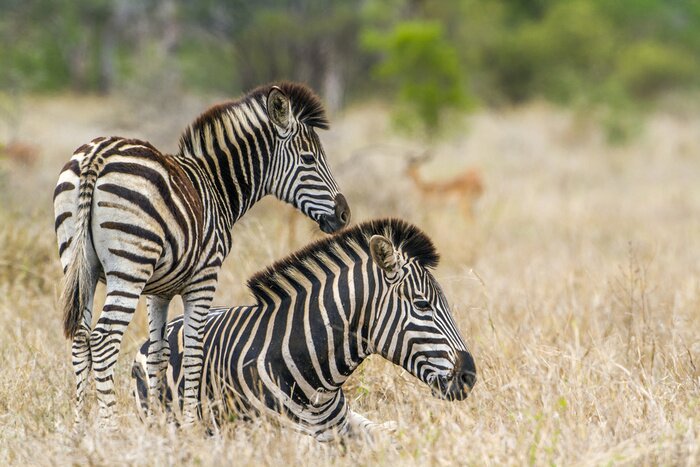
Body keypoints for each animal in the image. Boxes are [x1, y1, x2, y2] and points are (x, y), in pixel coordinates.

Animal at [53, 82, 350, 427]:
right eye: (308, 159)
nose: (344, 214)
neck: (216, 186)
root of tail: (96, 155)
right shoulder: (204, 277)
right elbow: (195, 350)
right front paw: (191, 423)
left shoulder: (158, 291)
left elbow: (159, 353)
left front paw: (160, 422)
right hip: (129, 268)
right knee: (103, 340)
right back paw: (110, 428)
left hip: (79, 266)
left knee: (80, 340)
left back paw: (79, 428)